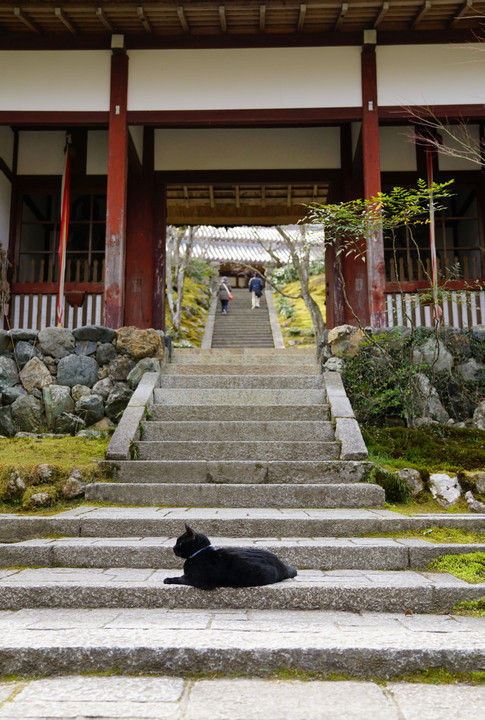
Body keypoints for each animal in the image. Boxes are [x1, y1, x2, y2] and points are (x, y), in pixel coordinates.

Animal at [164, 524, 296, 592]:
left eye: (180, 543)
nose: (173, 548)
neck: (199, 553)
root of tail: (282, 566)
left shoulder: (199, 580)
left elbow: (181, 578)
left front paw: (168, 579)